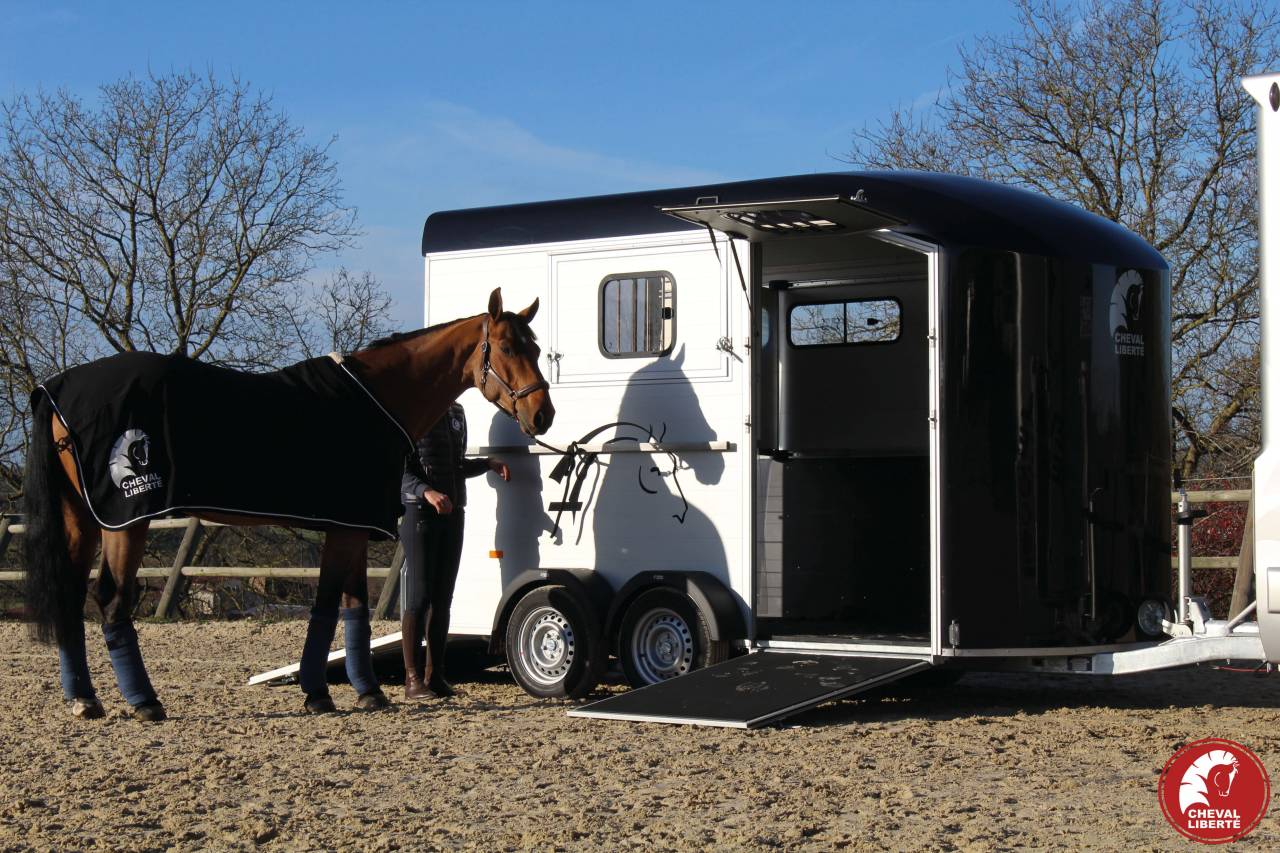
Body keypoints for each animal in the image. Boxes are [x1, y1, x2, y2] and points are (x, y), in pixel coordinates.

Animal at [24, 287, 554, 720]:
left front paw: (366, 692)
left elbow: (353, 606)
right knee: (111, 600)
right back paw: (144, 701)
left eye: (536, 348)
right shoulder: (345, 526)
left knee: (70, 596)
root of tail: (57, 389)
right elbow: (327, 604)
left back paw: (84, 699)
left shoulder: (355, 526)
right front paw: (319, 692)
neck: (378, 399)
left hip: (82, 517)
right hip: (126, 519)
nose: (542, 414)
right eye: (508, 347)